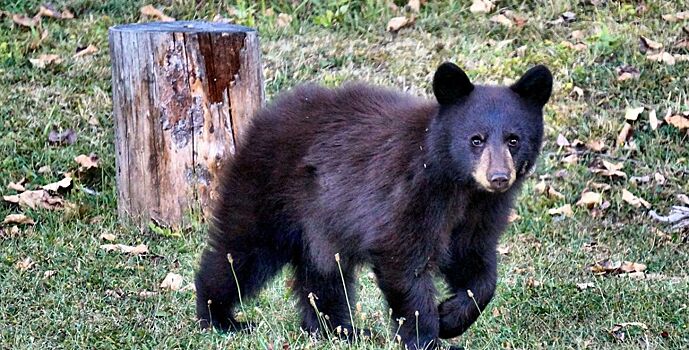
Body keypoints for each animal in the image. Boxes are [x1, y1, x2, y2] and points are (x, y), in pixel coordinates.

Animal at [196, 61, 552, 348]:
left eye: (514, 139)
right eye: (476, 139)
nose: (499, 177)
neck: (459, 185)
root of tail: (263, 117)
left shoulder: (481, 213)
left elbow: (476, 264)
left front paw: (450, 317)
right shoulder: (409, 194)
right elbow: (403, 260)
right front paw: (428, 337)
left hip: (320, 221)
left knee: (323, 272)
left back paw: (339, 330)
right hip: (269, 191)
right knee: (240, 251)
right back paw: (219, 317)